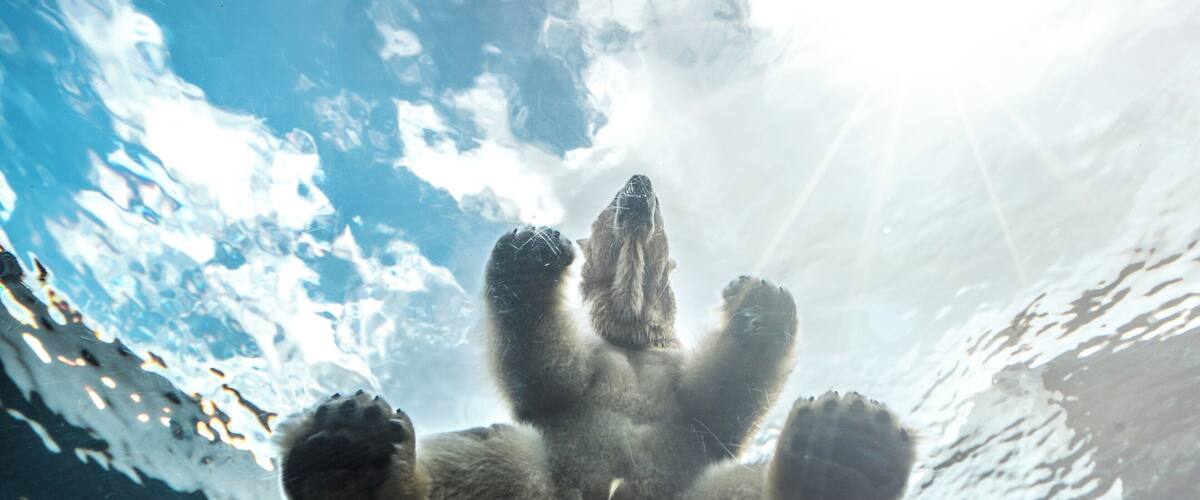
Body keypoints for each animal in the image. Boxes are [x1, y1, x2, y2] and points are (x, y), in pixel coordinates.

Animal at [278, 175, 915, 499]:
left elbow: (721, 403)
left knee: (748, 481)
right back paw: (346, 449)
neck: (630, 336)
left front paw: (760, 298)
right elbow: (547, 373)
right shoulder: (588, 370)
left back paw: (848, 447)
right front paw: (528, 252)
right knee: (492, 452)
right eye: (607, 206)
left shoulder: (672, 375)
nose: (638, 179)